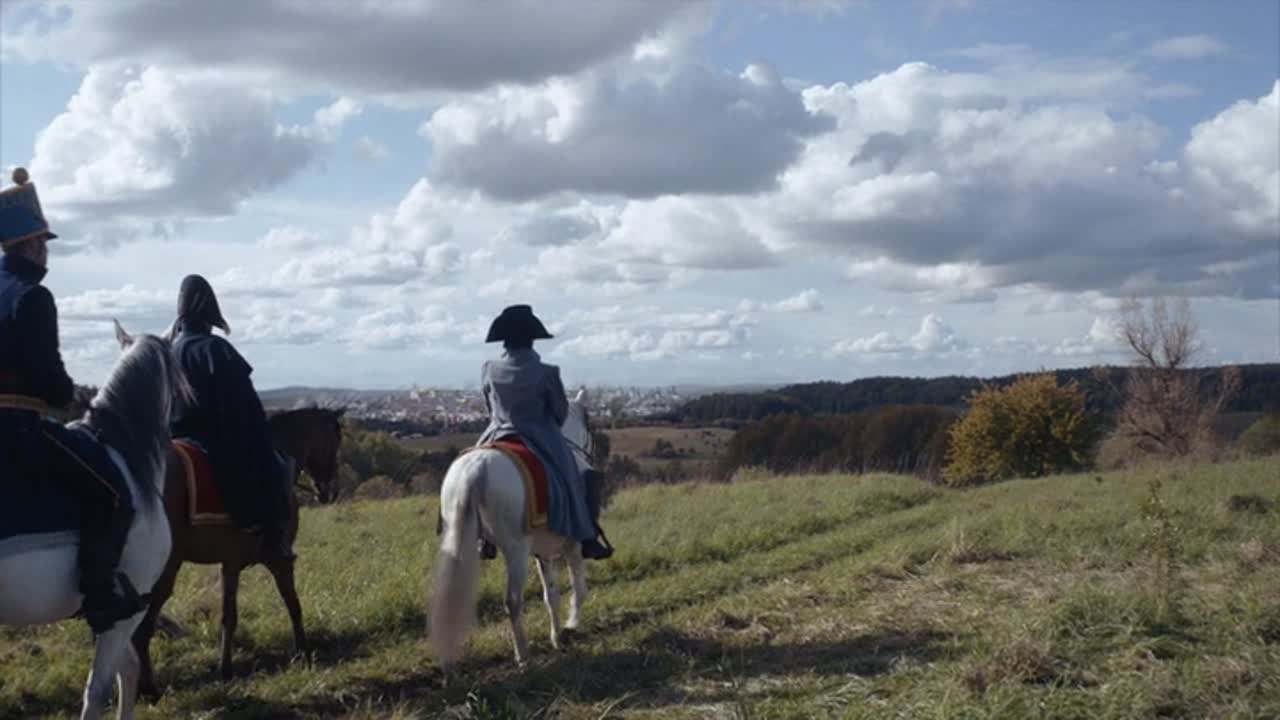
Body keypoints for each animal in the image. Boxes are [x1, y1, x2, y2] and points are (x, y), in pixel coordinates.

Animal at [129, 404, 345, 696]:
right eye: (336, 438)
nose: (330, 491)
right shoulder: (279, 560)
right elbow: (292, 603)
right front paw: (303, 653)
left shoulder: (230, 563)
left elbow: (228, 616)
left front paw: (226, 669)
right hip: (165, 567)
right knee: (142, 625)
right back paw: (149, 688)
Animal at [424, 389, 593, 671]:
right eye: (589, 425)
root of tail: (475, 468)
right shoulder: (573, 544)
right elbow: (578, 588)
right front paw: (572, 625)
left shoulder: (543, 553)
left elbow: (551, 594)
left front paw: (557, 636)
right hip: (515, 550)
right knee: (512, 601)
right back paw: (523, 655)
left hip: (459, 539)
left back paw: (449, 664)